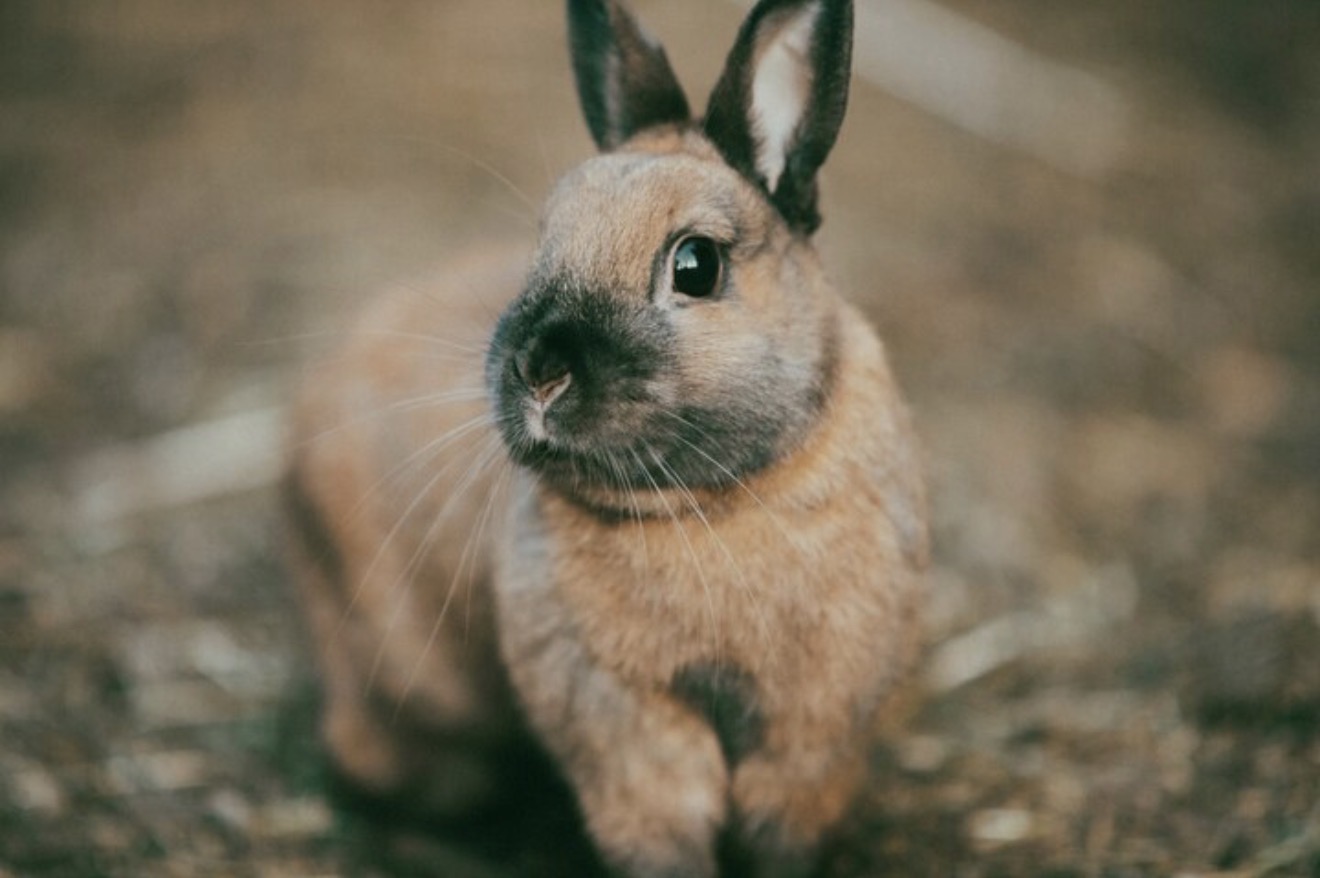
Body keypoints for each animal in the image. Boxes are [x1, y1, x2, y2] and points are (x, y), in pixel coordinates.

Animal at [285, 0, 928, 875]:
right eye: (543, 241)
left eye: (696, 265)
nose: (540, 370)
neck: (712, 502)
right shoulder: (618, 716)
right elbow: (664, 826)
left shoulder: (816, 723)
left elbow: (782, 830)